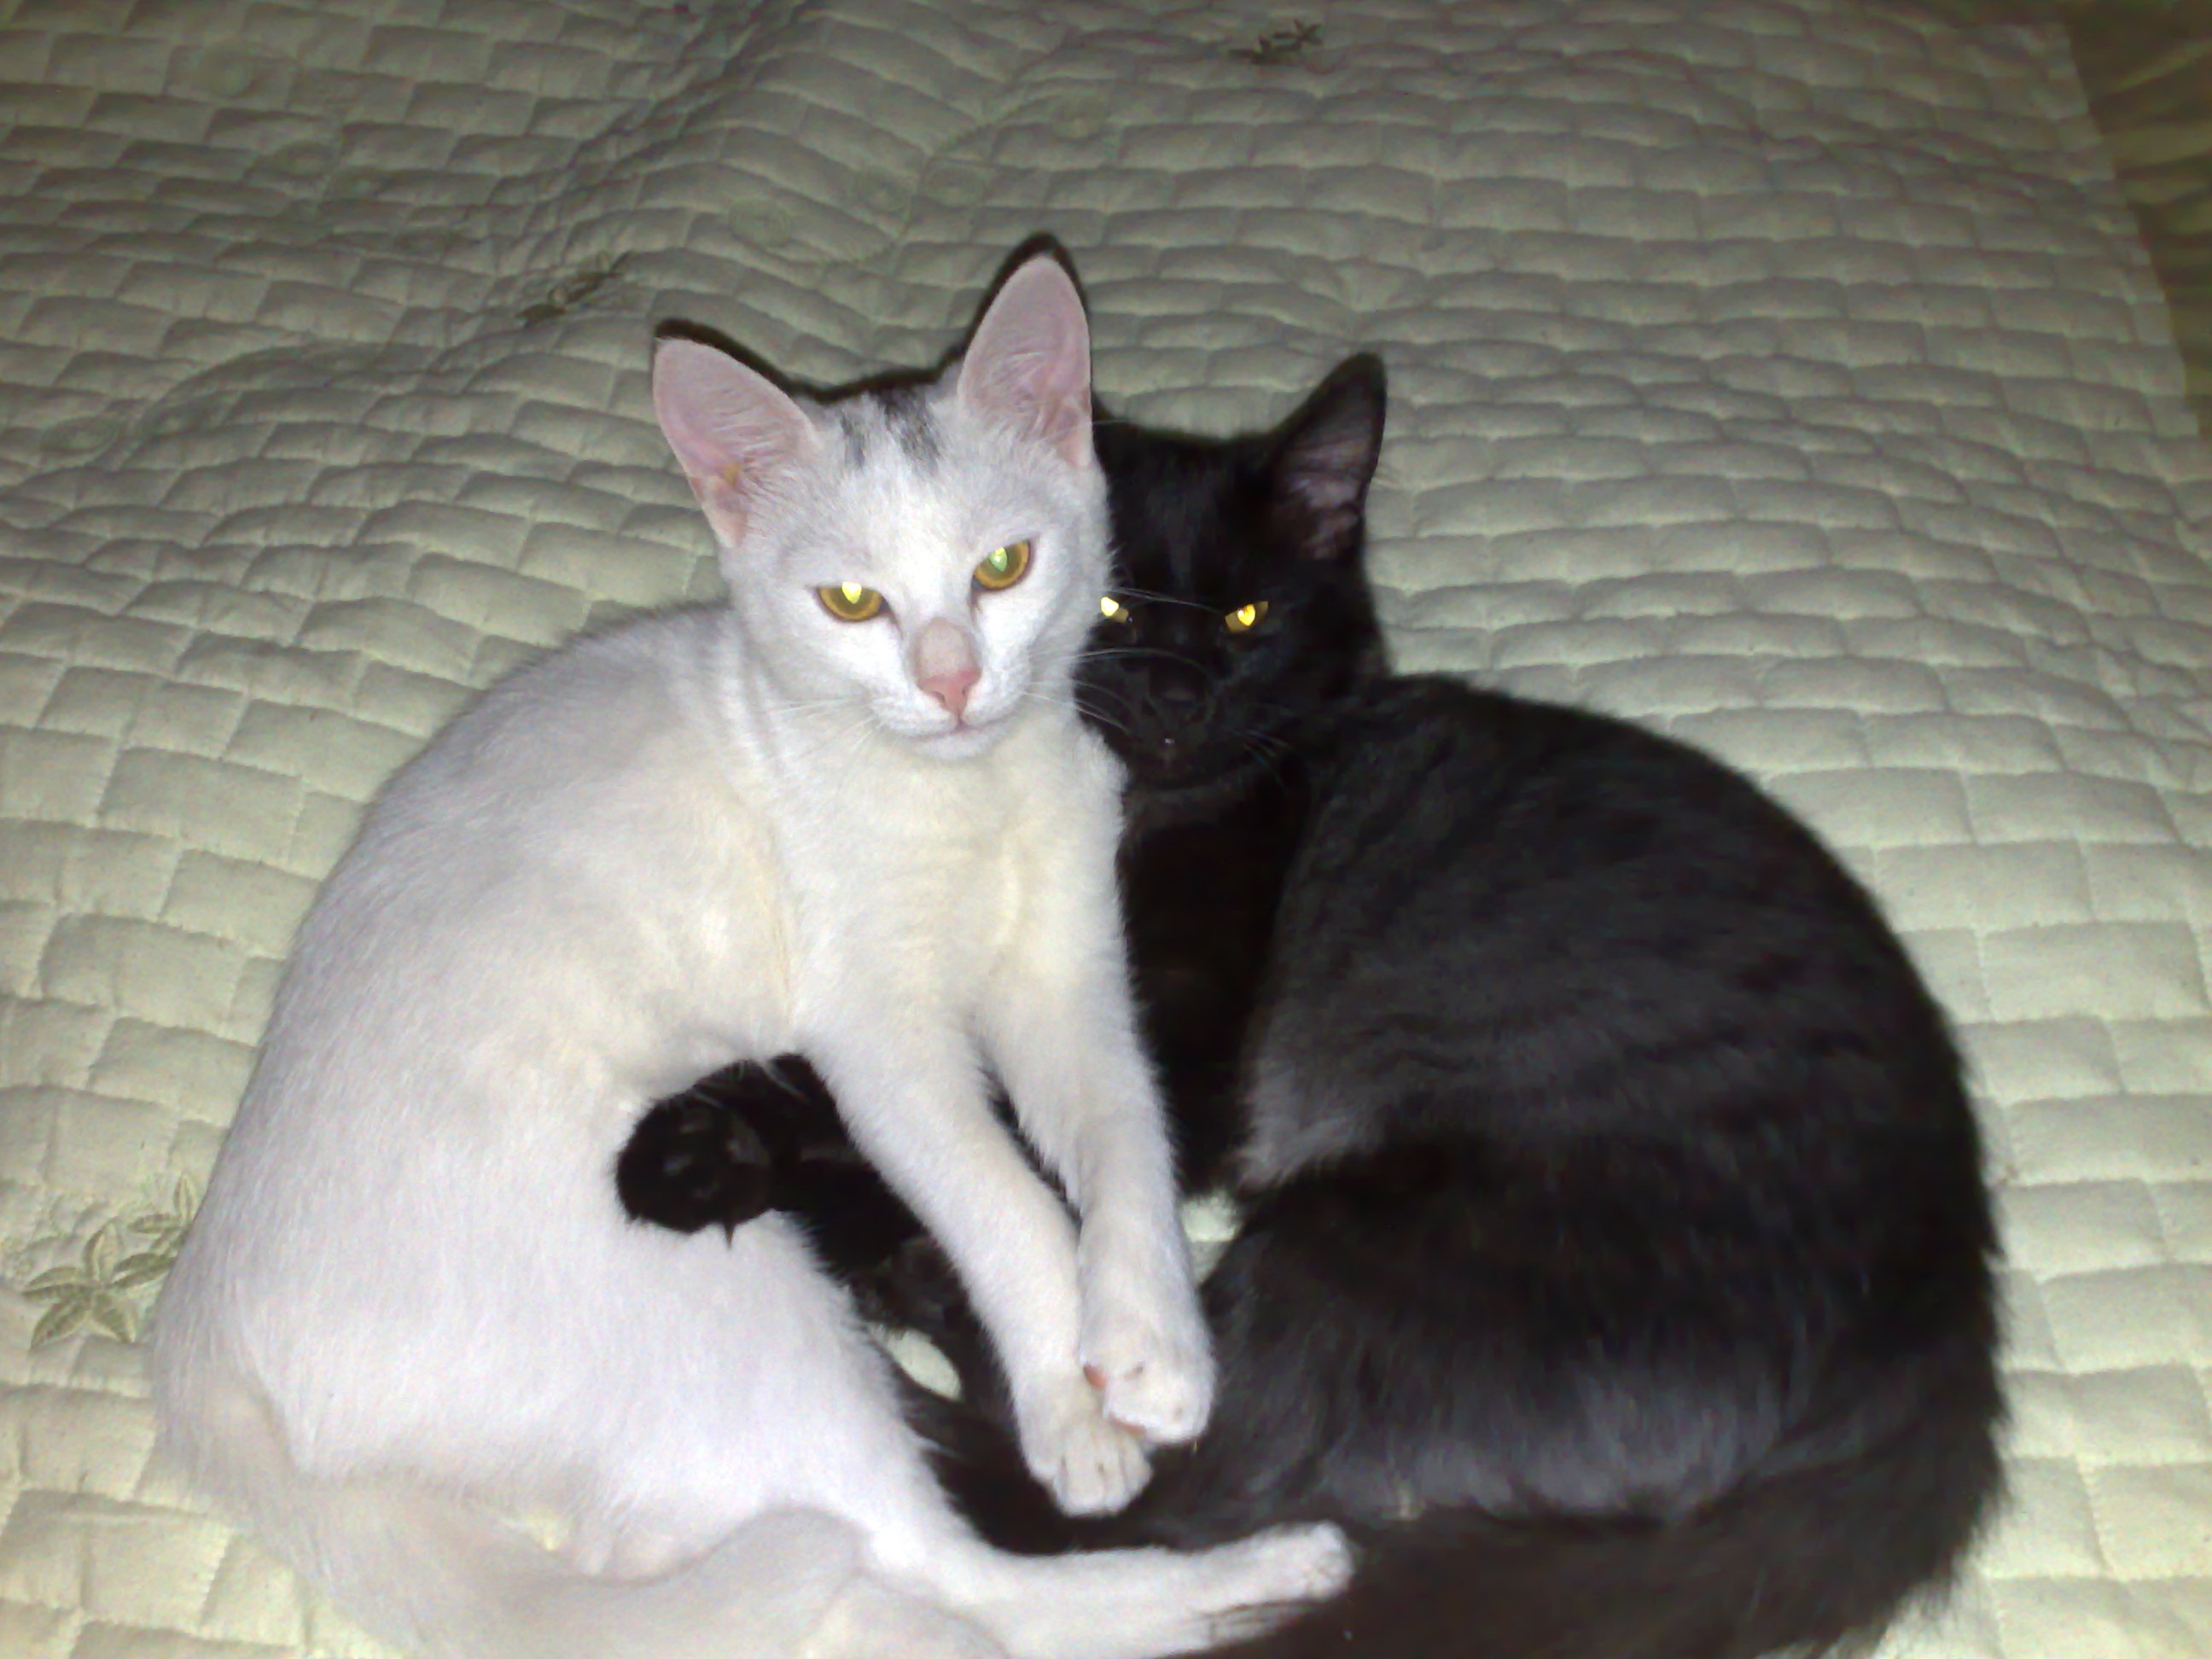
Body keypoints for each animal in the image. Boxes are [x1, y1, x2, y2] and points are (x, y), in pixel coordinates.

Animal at [147, 251, 1354, 1659]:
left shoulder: (1072, 980)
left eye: (1004, 567)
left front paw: (1153, 1338)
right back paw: (1251, 1565)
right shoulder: (875, 1039)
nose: (952, 681)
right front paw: (1071, 1397)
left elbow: (1124, 1137)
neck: (968, 792)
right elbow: (1001, 1200)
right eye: (851, 601)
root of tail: (199, 1339)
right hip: (717, 1288)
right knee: (953, 1571)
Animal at [620, 352, 2005, 1659]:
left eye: (1247, 614)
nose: (1179, 700)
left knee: (1155, 1502)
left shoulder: (1171, 1048)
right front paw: (701, 1129)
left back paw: (898, 1294)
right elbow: (854, 1082)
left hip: (1359, 1242)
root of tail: (1942, 1372)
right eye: (1112, 605)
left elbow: (987, 1156)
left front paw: (754, 1176)